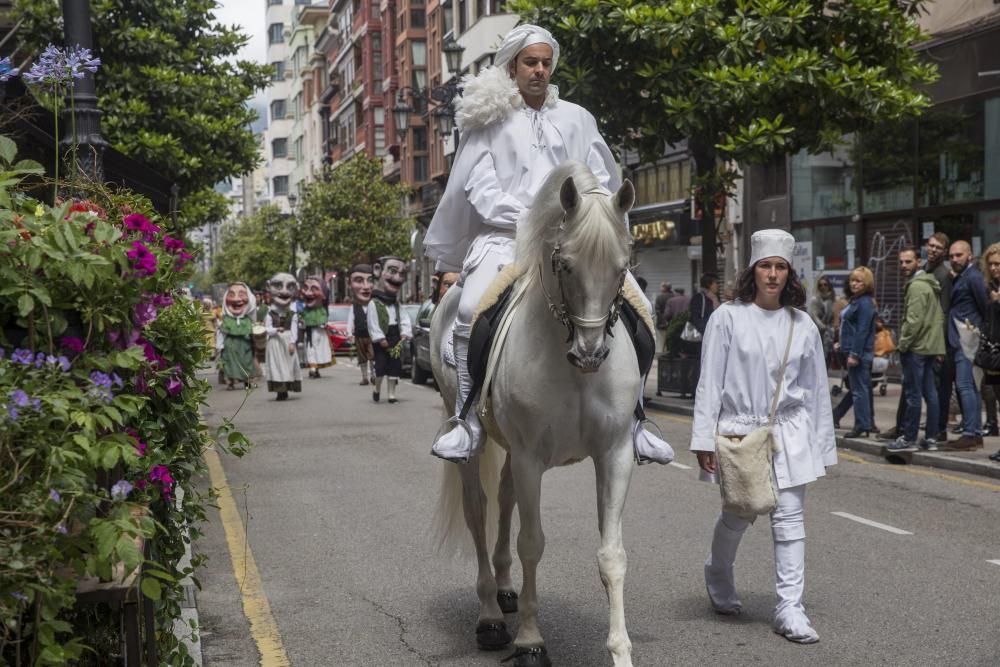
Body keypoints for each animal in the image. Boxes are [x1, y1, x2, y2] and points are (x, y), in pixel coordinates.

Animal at [436, 163, 640, 667]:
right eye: (564, 264)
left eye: (623, 267)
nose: (591, 354)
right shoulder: (532, 458)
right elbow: (532, 543)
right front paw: (530, 640)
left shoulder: (614, 454)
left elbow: (612, 554)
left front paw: (620, 650)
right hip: (473, 439)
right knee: (478, 510)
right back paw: (491, 615)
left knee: (504, 498)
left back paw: (506, 591)